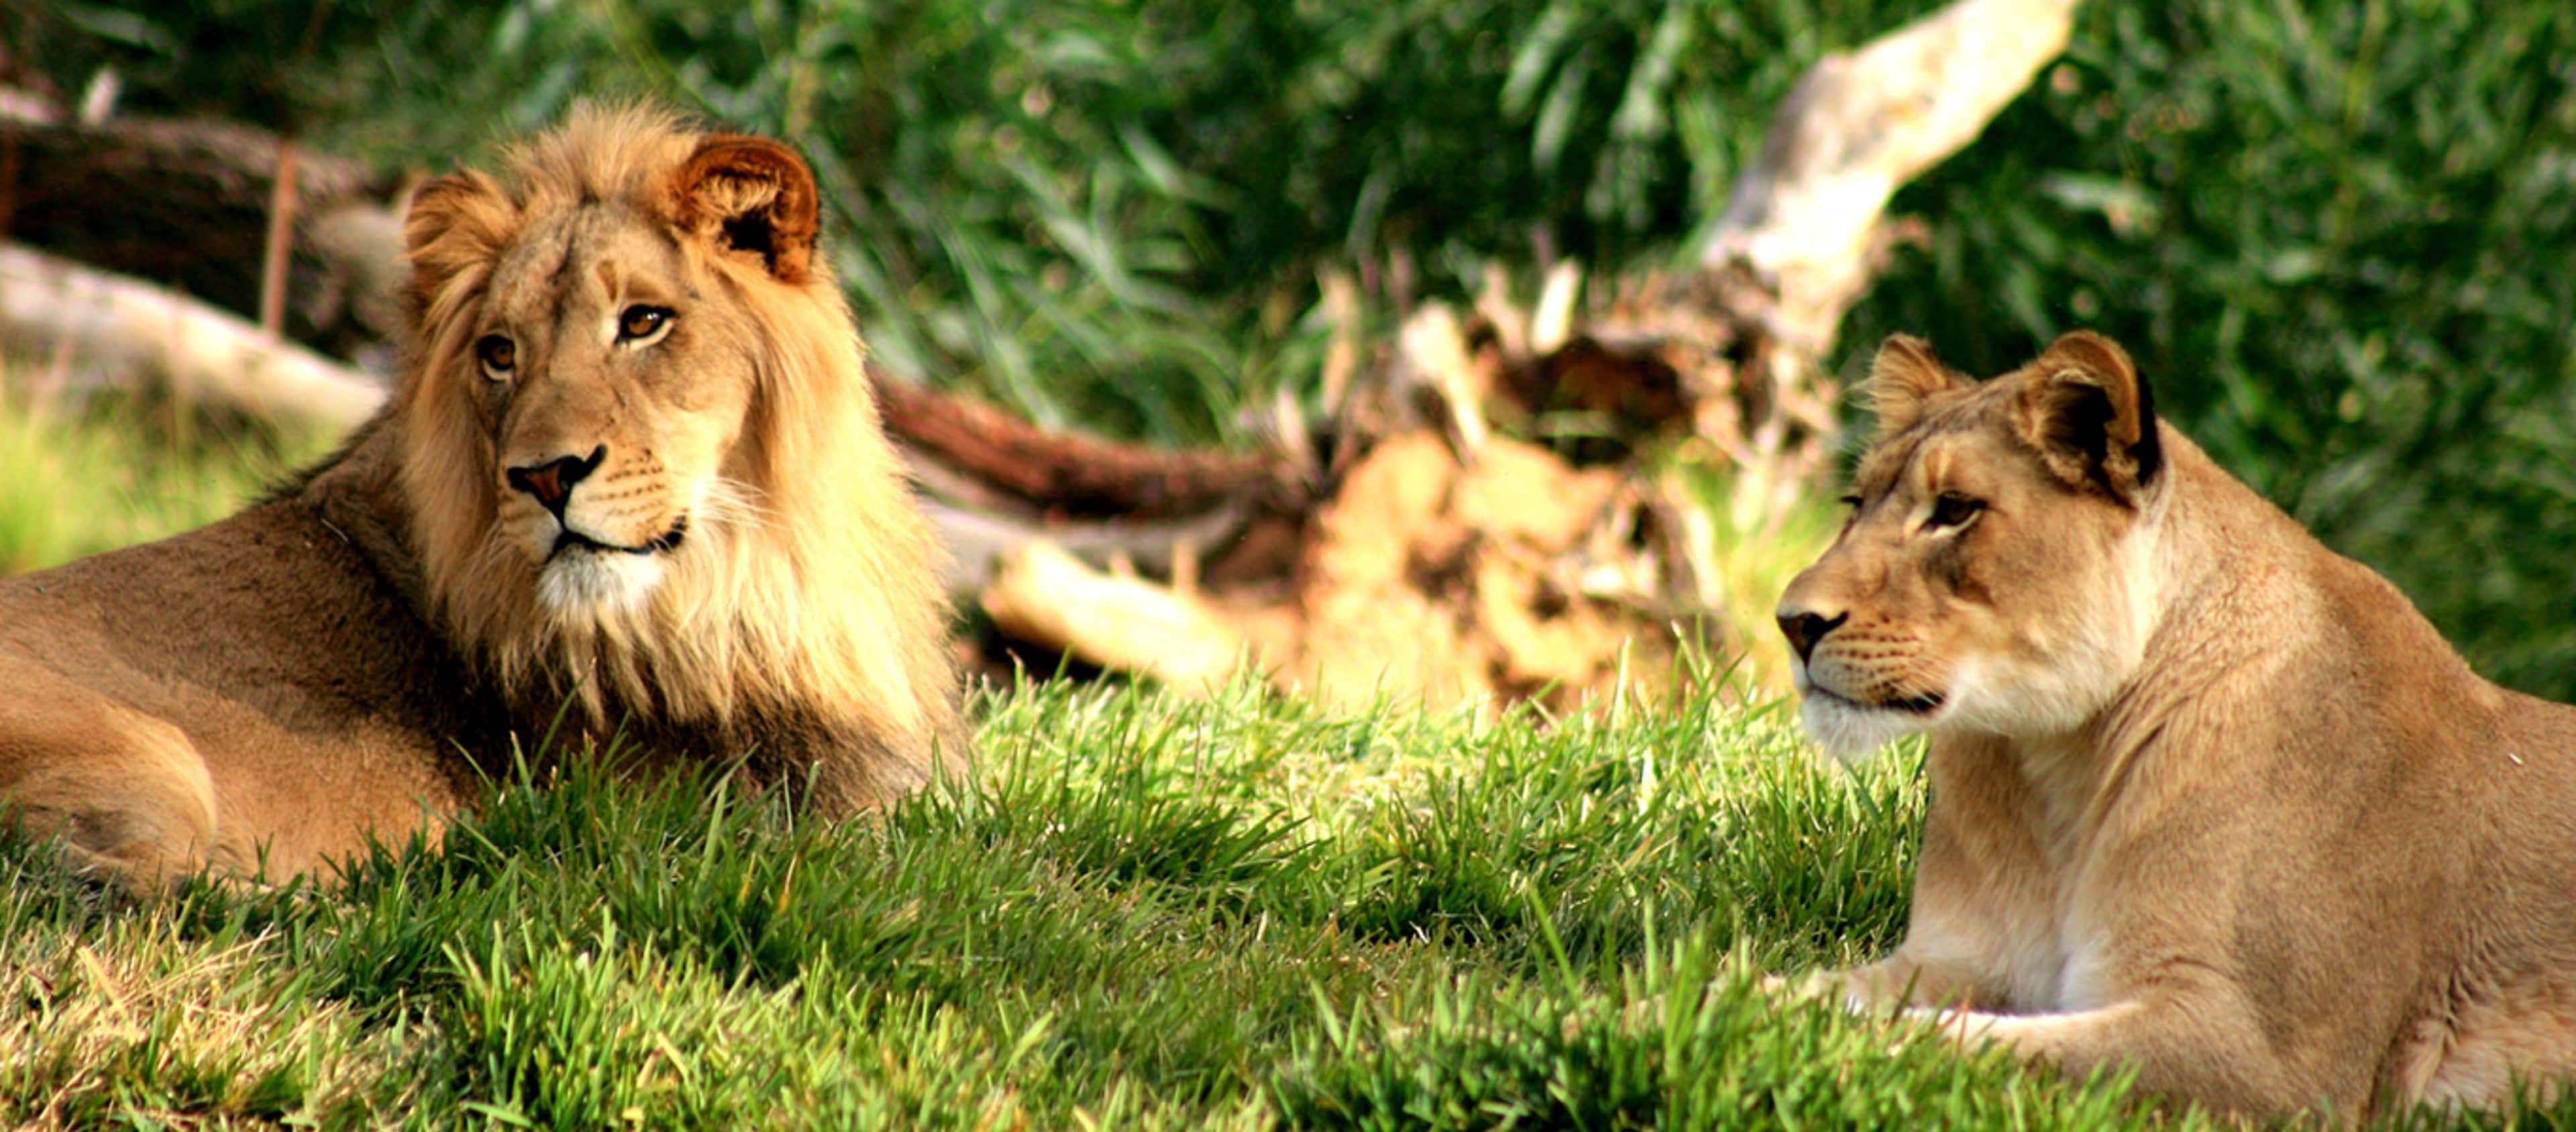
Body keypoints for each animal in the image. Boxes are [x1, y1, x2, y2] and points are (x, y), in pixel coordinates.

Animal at [0, 101, 968, 892]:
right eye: (500, 352)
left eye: (644, 321)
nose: (544, 475)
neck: (746, 589)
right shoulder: (735, 819)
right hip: (150, 756)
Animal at [1782, 332, 2576, 1119]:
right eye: (1856, 503)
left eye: (1953, 508)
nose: (1792, 623)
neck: (2056, 769)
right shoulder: (1956, 957)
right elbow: (1817, 993)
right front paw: (1756, 995)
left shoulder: (2273, 1064)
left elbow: (1950, 1039)